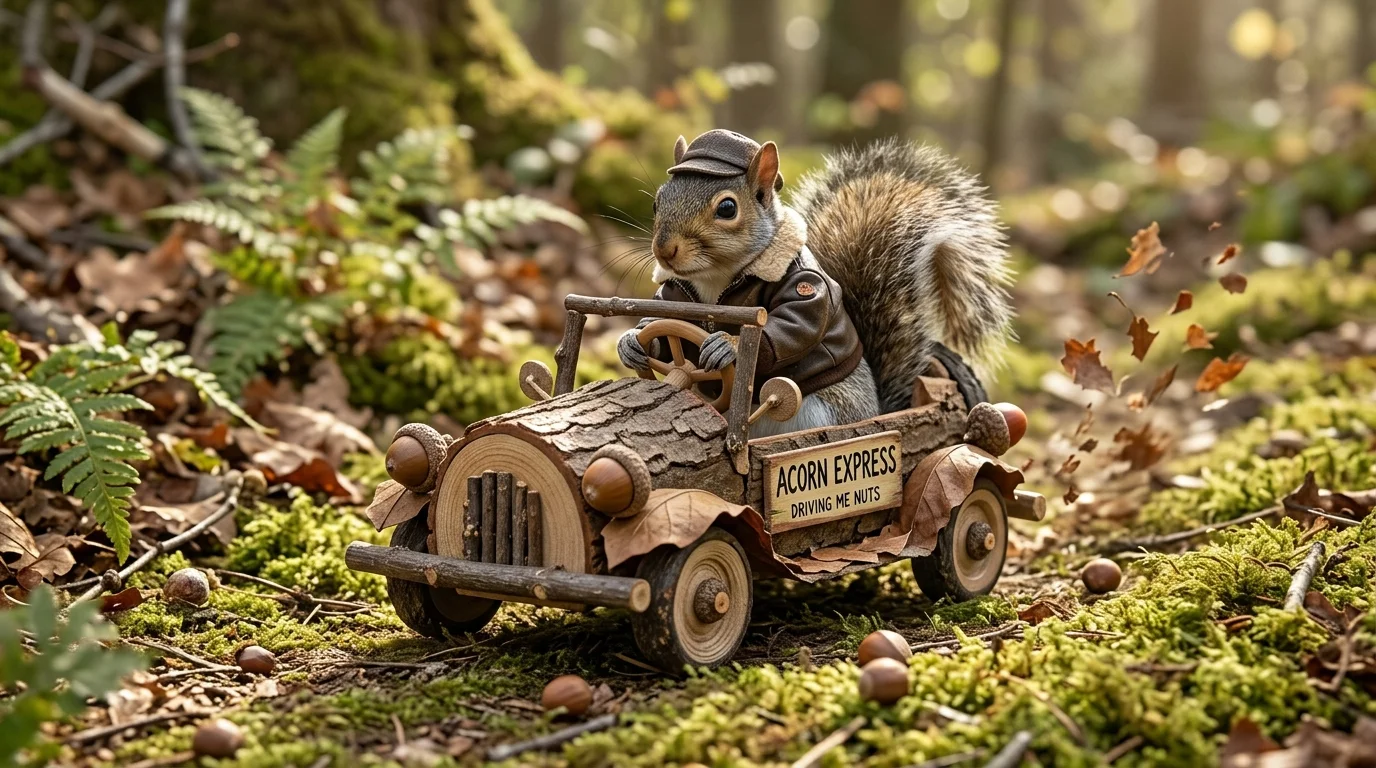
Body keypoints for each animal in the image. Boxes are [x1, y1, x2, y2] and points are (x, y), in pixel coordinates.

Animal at [617, 129, 1013, 435]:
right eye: (656, 203)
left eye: (727, 208)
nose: (664, 249)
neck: (715, 280)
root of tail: (879, 412)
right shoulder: (674, 293)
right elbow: (666, 328)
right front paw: (631, 341)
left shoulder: (805, 283)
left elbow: (798, 324)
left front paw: (729, 344)